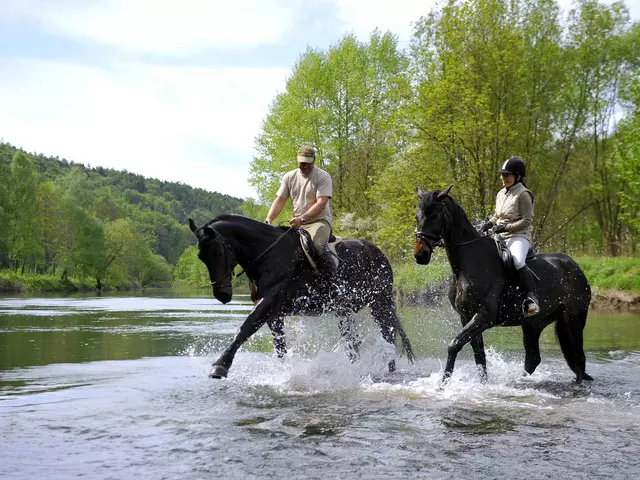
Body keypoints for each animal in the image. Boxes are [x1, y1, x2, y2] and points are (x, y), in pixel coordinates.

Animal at [188, 215, 416, 378]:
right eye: (200, 256)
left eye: (218, 253)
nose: (222, 294)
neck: (269, 256)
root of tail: (379, 253)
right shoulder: (275, 315)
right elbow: (280, 346)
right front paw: (284, 372)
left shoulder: (268, 303)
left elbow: (245, 328)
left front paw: (220, 365)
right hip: (344, 311)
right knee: (353, 342)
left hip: (380, 303)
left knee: (387, 334)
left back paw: (389, 370)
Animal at [412, 186, 592, 384]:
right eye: (417, 216)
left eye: (435, 215)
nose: (420, 255)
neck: (469, 263)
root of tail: (575, 267)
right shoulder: (466, 317)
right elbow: (479, 356)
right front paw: (483, 384)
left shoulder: (483, 317)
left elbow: (454, 345)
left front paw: (443, 384)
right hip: (534, 324)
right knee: (533, 358)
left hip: (573, 320)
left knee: (578, 360)